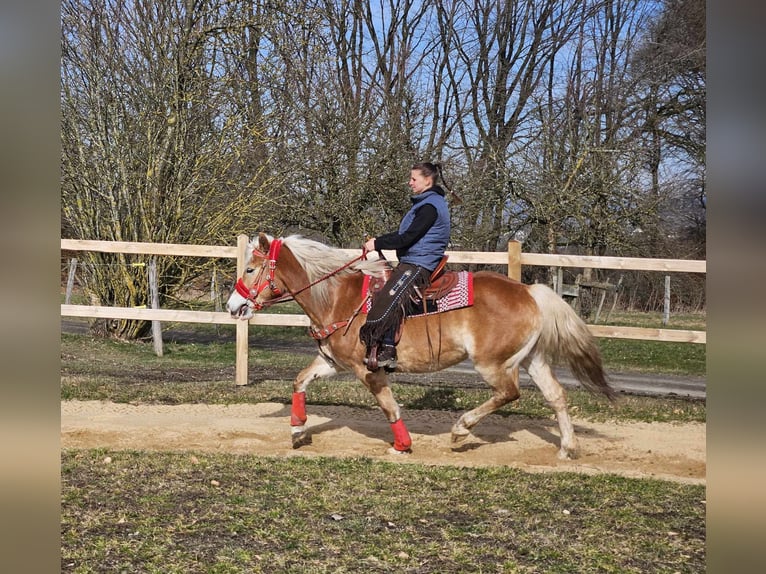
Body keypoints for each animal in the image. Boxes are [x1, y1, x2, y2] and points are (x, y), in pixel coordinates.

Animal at [226, 232, 616, 462]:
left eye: (250, 269)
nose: (233, 306)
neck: (337, 299)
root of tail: (529, 291)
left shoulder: (368, 369)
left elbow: (389, 407)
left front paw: (402, 444)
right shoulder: (331, 362)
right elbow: (300, 381)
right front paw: (296, 430)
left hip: (493, 363)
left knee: (509, 393)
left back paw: (461, 430)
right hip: (532, 358)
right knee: (556, 396)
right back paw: (568, 448)